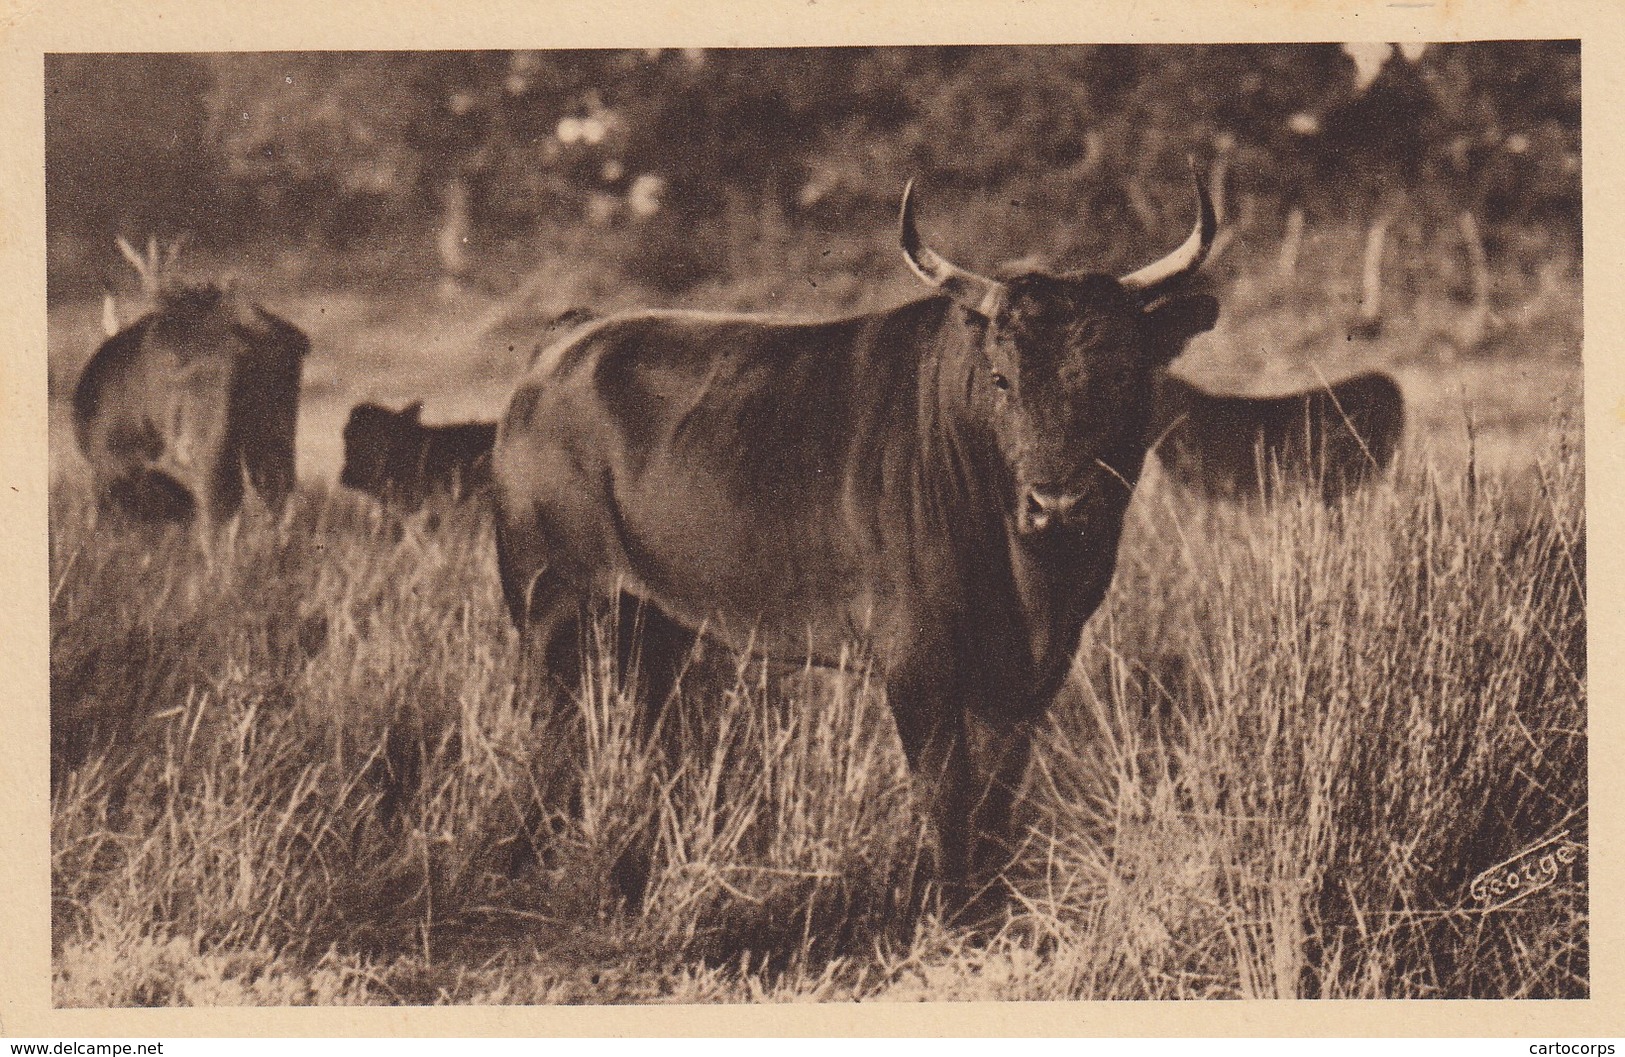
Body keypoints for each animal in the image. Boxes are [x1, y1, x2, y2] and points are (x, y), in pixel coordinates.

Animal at [490, 174, 1222, 891]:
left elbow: (996, 796)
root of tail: (568, 340)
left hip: (651, 620)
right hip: (547, 605)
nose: (1058, 502)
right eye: (1000, 378)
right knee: (547, 730)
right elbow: (946, 796)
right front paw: (946, 904)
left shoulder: (1035, 671)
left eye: (1120, 375)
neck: (1031, 583)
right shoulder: (917, 659)